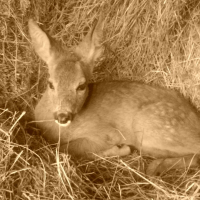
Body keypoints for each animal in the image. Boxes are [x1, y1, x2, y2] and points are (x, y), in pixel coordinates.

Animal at [28, 16, 200, 175]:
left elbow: (68, 148)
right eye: (51, 84)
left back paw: (154, 167)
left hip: (148, 128)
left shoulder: (107, 133)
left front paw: (120, 150)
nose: (63, 116)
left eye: (81, 86)